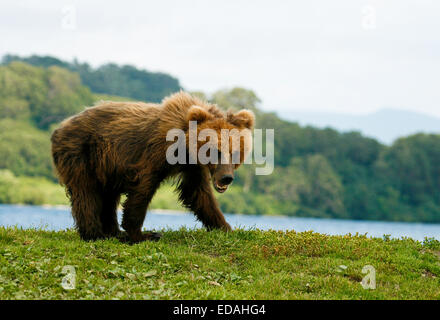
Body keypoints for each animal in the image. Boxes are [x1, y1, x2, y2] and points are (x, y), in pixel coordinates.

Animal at [50, 91, 254, 241]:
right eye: (215, 151)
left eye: (235, 152)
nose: (226, 178)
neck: (184, 146)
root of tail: (60, 127)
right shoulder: (155, 152)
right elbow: (144, 187)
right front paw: (142, 234)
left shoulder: (192, 166)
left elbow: (198, 193)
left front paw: (225, 227)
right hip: (82, 153)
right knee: (86, 192)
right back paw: (94, 234)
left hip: (107, 165)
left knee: (108, 195)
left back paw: (113, 232)